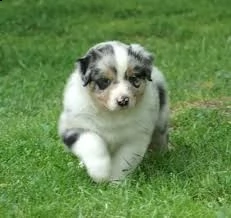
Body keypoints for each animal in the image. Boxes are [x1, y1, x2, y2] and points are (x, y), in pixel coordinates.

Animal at [57, 40, 170, 182]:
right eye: (105, 81)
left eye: (133, 78)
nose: (123, 101)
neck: (110, 114)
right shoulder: (74, 126)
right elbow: (93, 143)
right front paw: (100, 173)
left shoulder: (135, 137)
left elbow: (124, 161)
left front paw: (115, 182)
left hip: (161, 120)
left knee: (160, 137)